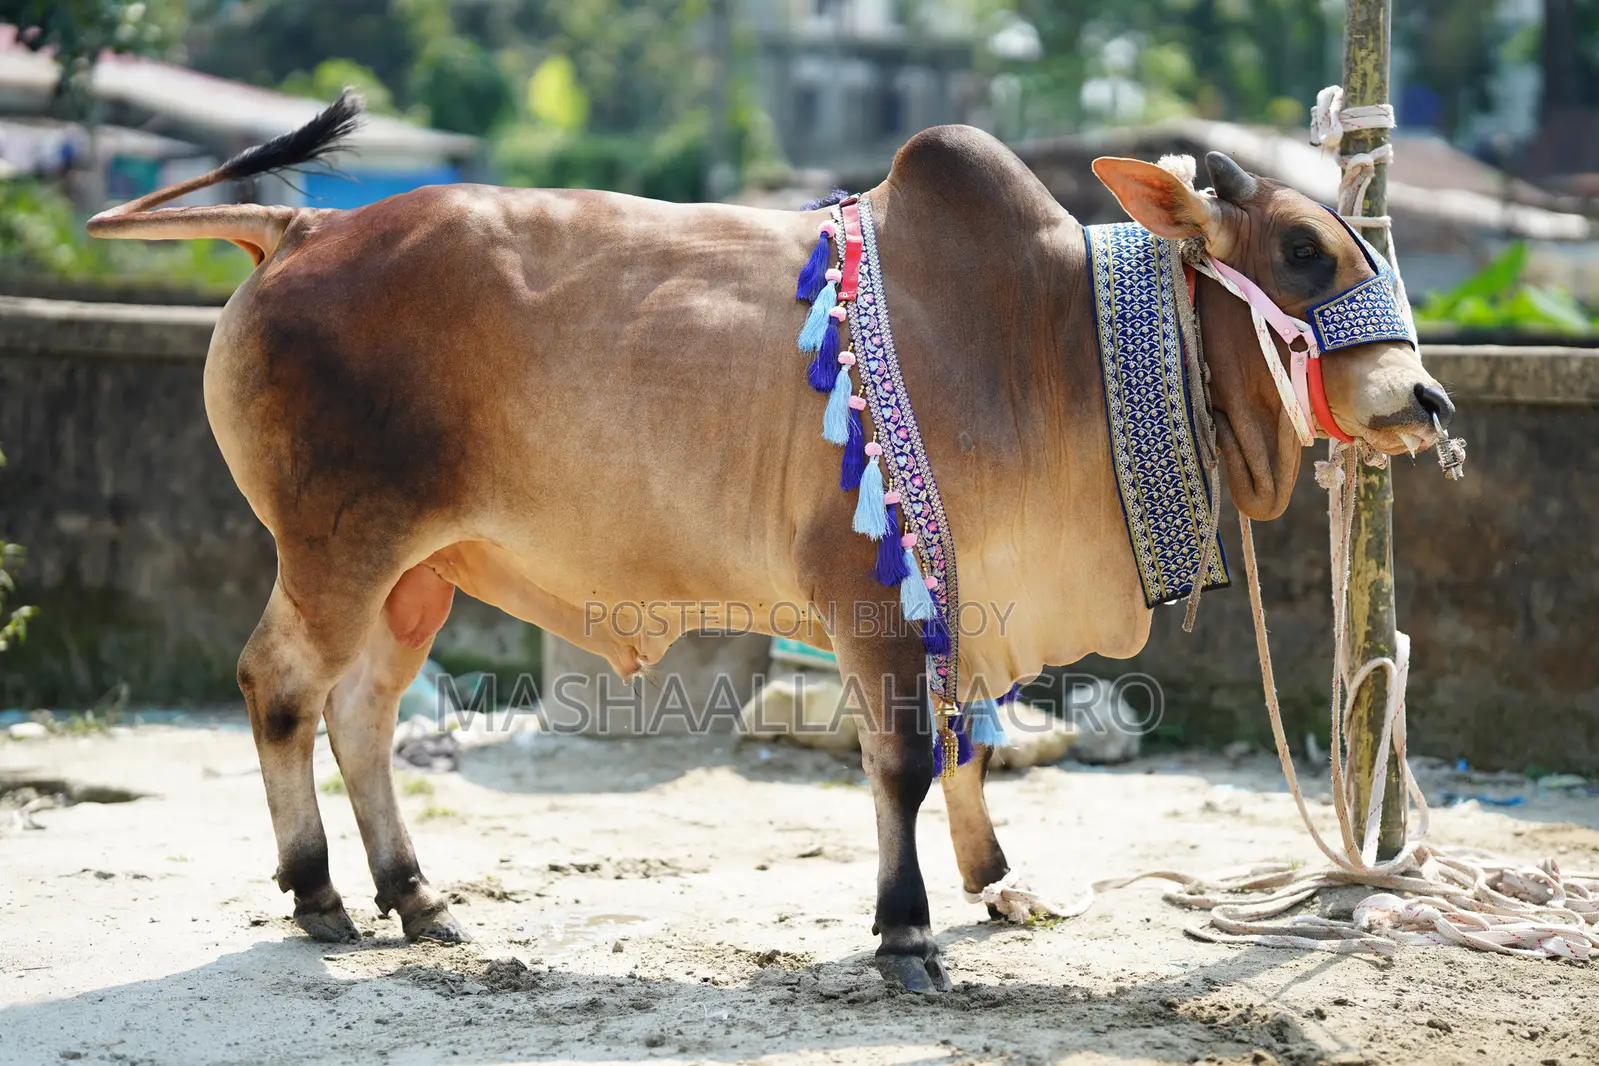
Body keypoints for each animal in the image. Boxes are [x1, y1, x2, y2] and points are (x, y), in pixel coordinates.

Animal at [88, 94, 1453, 992]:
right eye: (1303, 249)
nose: (1428, 400)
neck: (1052, 333)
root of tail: (303, 233)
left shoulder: (962, 596)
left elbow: (972, 743)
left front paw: (995, 883)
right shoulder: (877, 599)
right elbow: (904, 759)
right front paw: (905, 931)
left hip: (418, 569)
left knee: (363, 711)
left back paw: (415, 896)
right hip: (339, 547)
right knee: (280, 688)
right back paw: (321, 892)